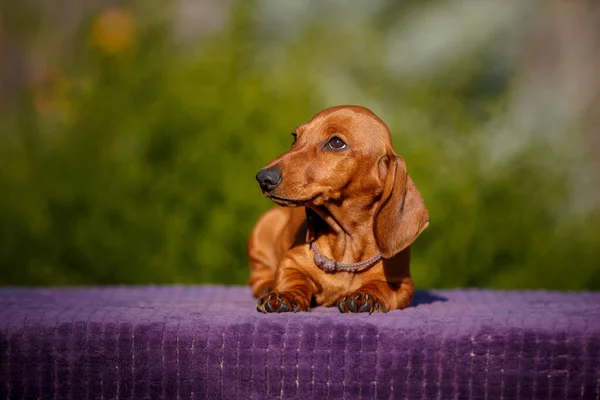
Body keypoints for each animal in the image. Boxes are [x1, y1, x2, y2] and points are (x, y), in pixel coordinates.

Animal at [247, 105, 426, 312]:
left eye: (336, 143)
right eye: (295, 137)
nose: (263, 178)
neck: (346, 242)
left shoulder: (402, 283)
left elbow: (382, 286)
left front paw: (366, 295)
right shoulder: (290, 262)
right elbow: (292, 278)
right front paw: (285, 295)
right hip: (263, 229)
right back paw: (267, 284)